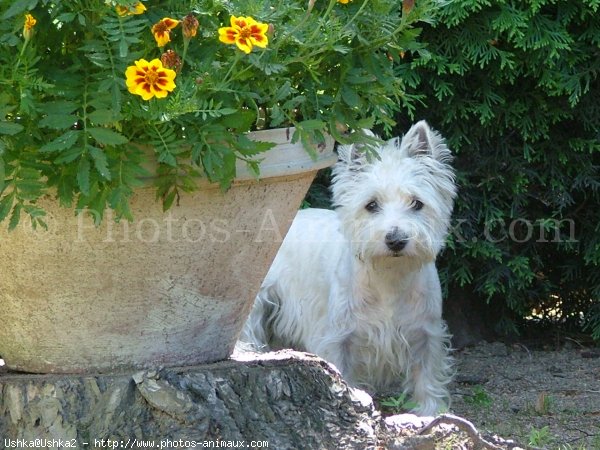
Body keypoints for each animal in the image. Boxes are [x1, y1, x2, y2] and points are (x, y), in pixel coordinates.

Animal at [241, 121, 458, 416]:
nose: (396, 239)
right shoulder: (338, 337)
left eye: (417, 203)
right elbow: (341, 372)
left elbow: (427, 378)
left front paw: (431, 413)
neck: (389, 276)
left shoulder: (426, 334)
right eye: (371, 205)